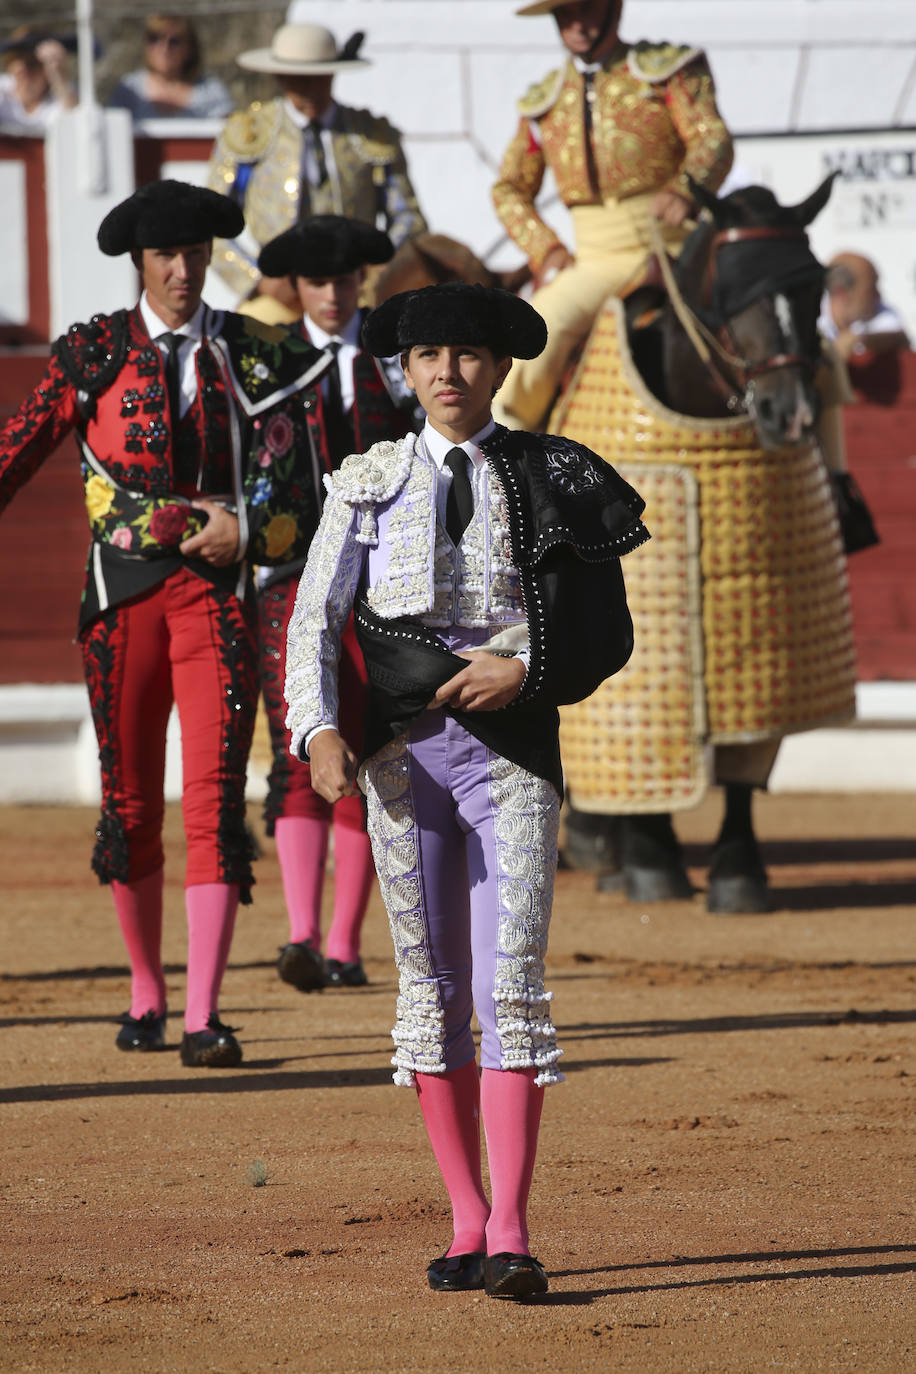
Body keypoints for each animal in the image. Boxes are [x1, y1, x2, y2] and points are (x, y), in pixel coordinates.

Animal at [552, 177, 862, 917]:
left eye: (814, 289)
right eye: (731, 292)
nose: (792, 414)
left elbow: (749, 760)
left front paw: (738, 872)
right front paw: (650, 862)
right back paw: (607, 850)